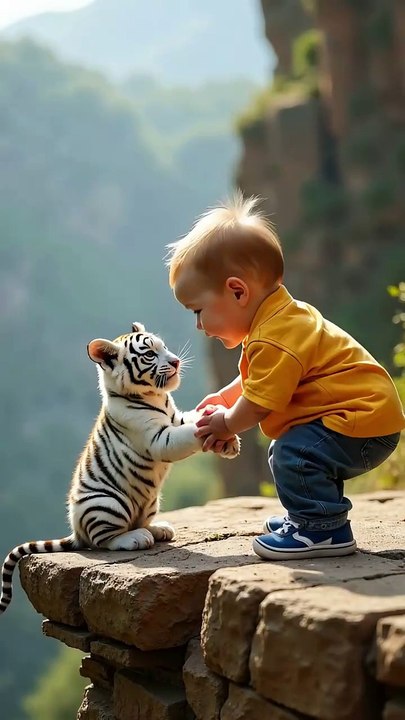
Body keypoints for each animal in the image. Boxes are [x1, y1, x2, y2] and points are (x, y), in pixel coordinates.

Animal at [0, 322, 240, 615]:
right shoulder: (159, 438)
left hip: (150, 503)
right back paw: (135, 539)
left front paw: (226, 438)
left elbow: (191, 418)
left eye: (164, 346)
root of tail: (76, 532)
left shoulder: (176, 417)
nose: (175, 361)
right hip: (109, 505)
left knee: (139, 523)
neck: (156, 397)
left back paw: (158, 530)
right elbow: (188, 433)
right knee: (103, 540)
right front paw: (215, 428)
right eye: (149, 354)